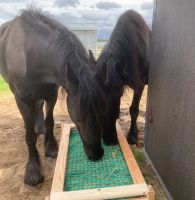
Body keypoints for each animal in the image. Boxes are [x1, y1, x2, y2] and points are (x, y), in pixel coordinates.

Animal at [0, 10, 104, 187]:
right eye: (80, 119)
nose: (97, 155)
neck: (30, 54)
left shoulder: (51, 94)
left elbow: (50, 121)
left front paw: (51, 148)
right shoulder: (22, 100)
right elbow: (29, 135)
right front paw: (33, 170)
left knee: (39, 105)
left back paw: (40, 127)